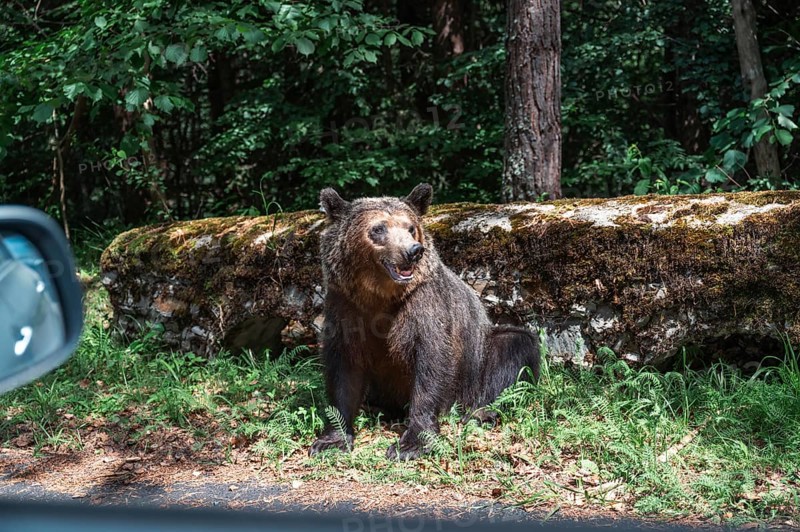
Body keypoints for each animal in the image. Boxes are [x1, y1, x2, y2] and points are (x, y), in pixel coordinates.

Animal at [309, 183, 540, 460]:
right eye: (379, 228)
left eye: (410, 227)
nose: (413, 251)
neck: (379, 296)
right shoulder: (345, 305)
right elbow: (344, 368)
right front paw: (332, 439)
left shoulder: (423, 304)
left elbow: (431, 361)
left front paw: (411, 443)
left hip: (477, 362)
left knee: (515, 346)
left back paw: (482, 412)